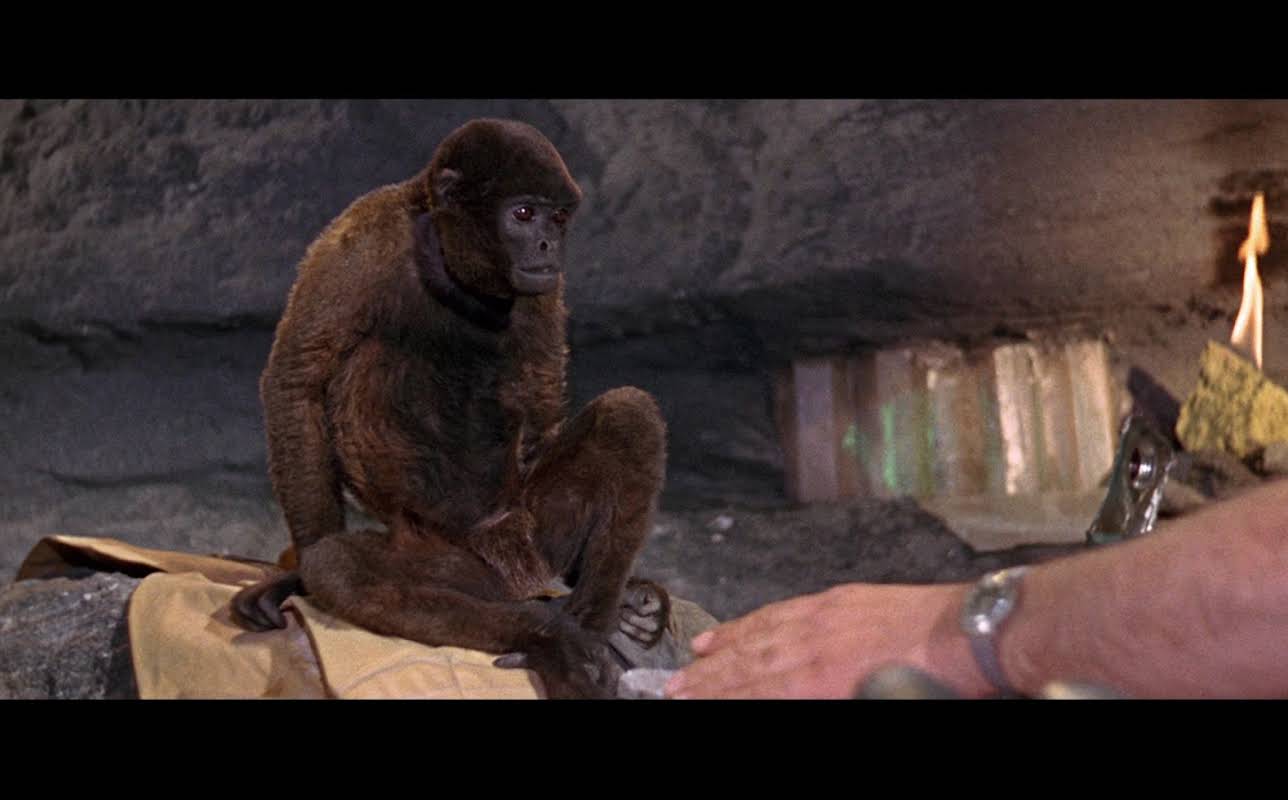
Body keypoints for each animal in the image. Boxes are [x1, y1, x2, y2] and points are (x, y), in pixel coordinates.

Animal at [229, 119, 671, 698]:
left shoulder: (544, 284)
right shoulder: (360, 237)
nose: (550, 243)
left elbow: (544, 397)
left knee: (629, 415)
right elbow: (297, 378)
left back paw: (592, 623)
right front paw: (293, 575)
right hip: (454, 561)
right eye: (523, 214)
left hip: (531, 532)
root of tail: (516, 577)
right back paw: (547, 634)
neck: (444, 254)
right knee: (342, 564)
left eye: (556, 217)